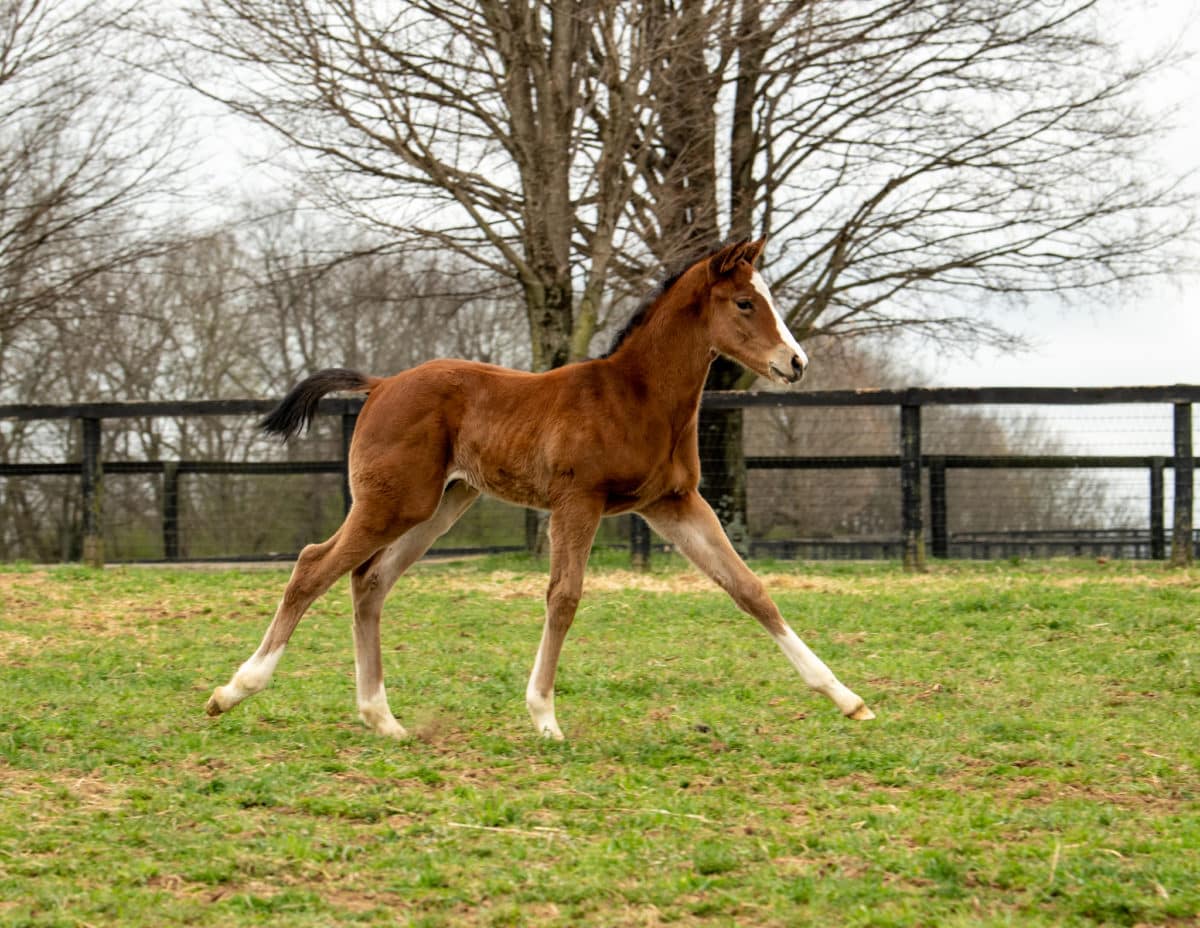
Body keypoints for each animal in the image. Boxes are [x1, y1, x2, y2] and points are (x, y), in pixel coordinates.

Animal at [206, 238, 878, 739]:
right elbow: (564, 596)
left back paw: (383, 719)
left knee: (368, 581)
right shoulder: (578, 501)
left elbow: (750, 590)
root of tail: (380, 384)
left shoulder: (673, 504)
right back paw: (234, 690)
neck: (636, 397)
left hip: (441, 506)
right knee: (312, 565)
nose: (796, 363)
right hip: (392, 502)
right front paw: (544, 716)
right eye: (743, 302)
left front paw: (847, 698)